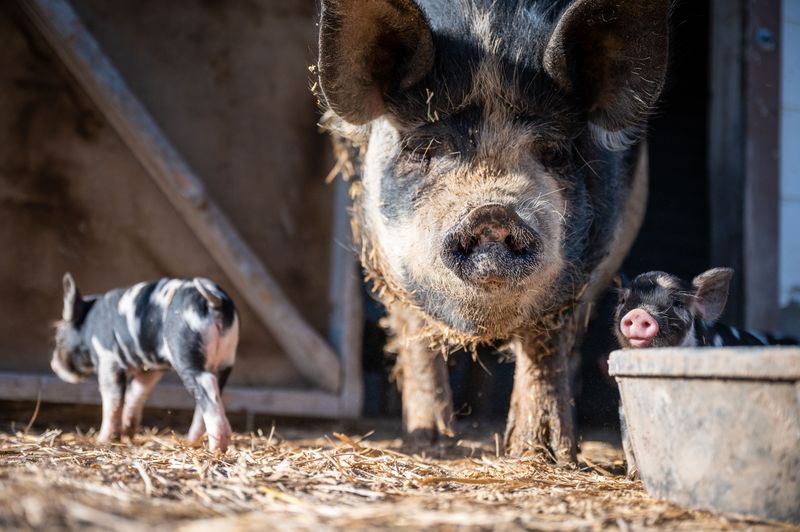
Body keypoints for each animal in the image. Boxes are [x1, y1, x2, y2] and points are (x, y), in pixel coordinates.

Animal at [51, 273, 239, 452]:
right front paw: (127, 437)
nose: (53, 365)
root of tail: (214, 300)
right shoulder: (150, 368)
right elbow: (136, 393)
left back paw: (217, 448)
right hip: (225, 359)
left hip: (186, 353)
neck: (89, 326)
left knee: (207, 388)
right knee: (209, 396)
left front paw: (103, 441)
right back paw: (192, 443)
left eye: (59, 337)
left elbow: (113, 401)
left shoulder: (107, 359)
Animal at [317, 0, 671, 461]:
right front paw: (431, 445)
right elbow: (413, 326)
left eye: (553, 151)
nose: (492, 213)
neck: (489, 32)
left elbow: (546, 339)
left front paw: (544, 453)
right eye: (423, 147)